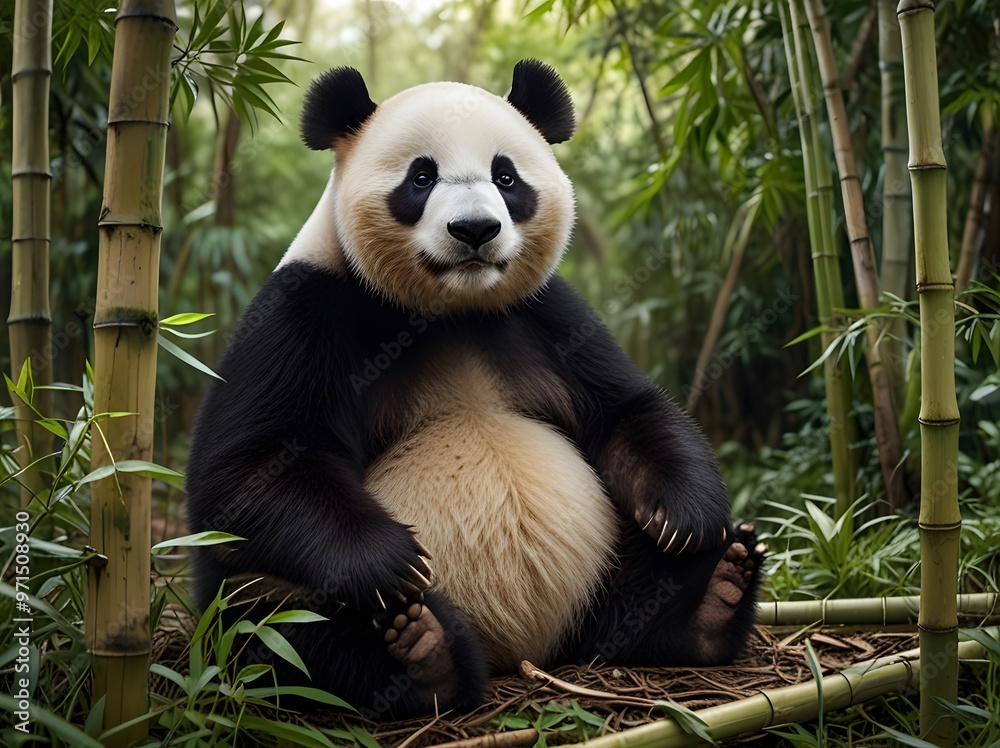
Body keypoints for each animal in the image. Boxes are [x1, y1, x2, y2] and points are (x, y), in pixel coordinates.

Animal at [185, 60, 765, 720]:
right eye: (421, 177)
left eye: (505, 176)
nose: (475, 229)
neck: (452, 310)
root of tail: (526, 653)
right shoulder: (301, 312)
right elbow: (247, 468)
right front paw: (393, 561)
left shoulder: (549, 314)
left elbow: (624, 410)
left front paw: (683, 515)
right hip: (262, 603)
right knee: (276, 617)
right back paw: (419, 652)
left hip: (605, 564)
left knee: (642, 592)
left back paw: (715, 594)